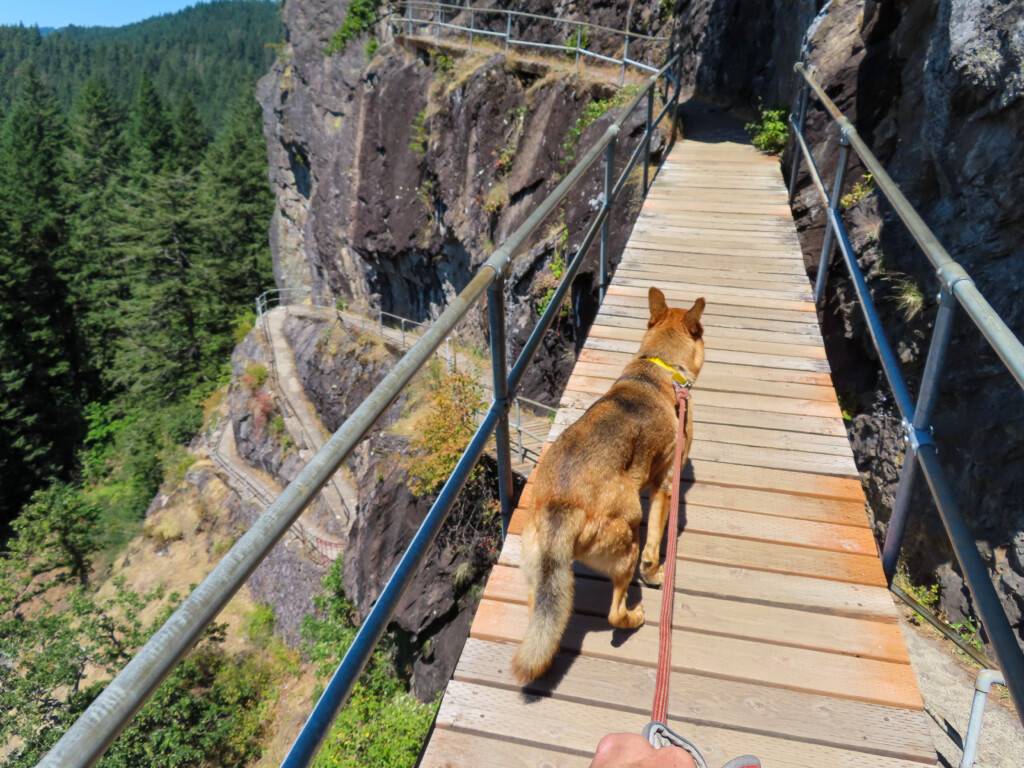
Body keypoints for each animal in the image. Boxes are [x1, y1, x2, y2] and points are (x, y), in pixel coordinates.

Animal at [512, 288, 704, 684]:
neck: (661, 365)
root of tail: (561, 509)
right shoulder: (664, 486)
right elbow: (655, 546)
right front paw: (655, 573)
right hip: (627, 542)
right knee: (615, 611)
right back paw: (634, 617)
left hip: (538, 573)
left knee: (541, 614)